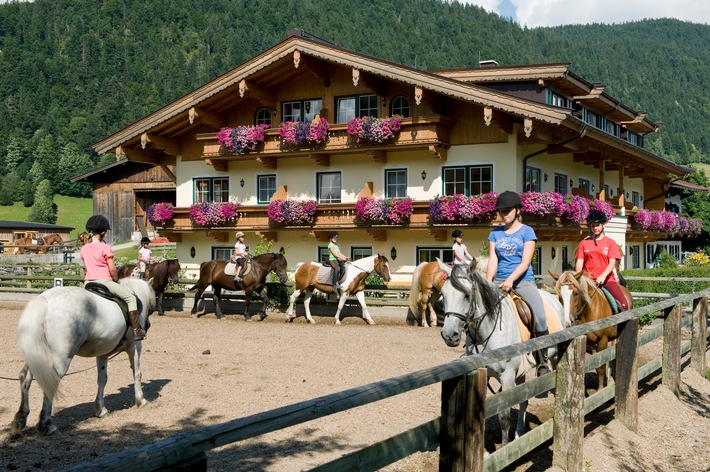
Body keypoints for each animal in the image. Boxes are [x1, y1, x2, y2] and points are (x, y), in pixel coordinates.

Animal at [9, 276, 155, 436]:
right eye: (152, 306)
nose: (147, 325)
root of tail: (44, 299)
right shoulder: (135, 347)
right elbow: (137, 373)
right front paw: (141, 400)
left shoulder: (102, 353)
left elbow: (102, 379)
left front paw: (101, 409)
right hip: (62, 357)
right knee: (52, 381)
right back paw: (47, 424)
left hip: (35, 355)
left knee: (25, 377)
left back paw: (20, 419)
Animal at [440, 262, 568, 446]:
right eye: (442, 294)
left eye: (466, 295)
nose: (449, 335)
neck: (486, 333)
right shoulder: (485, 374)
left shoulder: (507, 375)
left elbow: (504, 417)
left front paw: (504, 448)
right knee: (523, 400)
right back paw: (519, 435)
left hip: (555, 356)